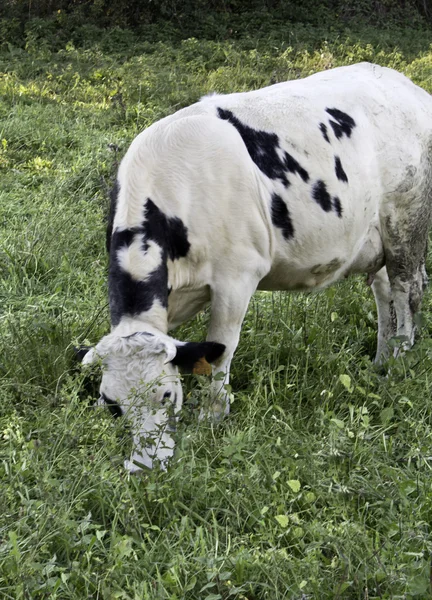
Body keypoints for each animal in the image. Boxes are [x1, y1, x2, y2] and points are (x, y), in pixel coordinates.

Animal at [80, 63, 432, 472]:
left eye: (167, 395)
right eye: (112, 405)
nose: (144, 467)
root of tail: (401, 82)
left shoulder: (236, 278)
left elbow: (220, 349)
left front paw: (213, 415)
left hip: (406, 222)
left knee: (408, 290)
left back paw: (398, 367)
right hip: (373, 239)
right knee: (384, 289)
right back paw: (380, 361)